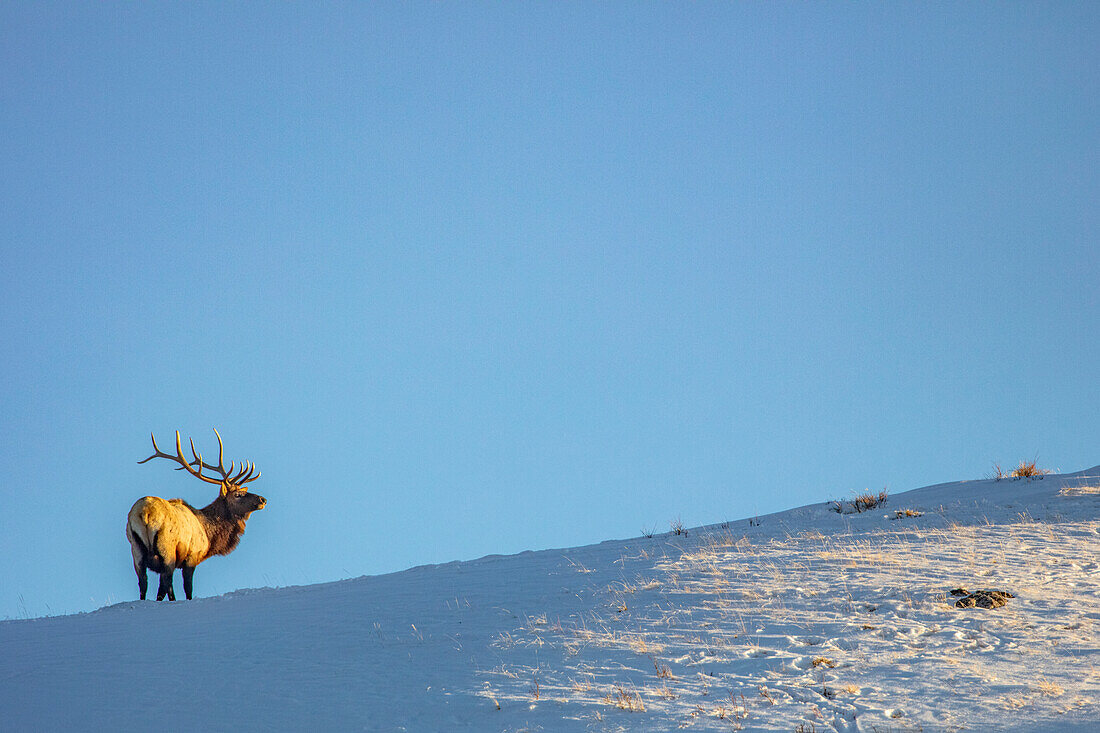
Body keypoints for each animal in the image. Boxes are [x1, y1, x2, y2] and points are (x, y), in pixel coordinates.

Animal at [126, 429, 266, 598]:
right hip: (167, 549)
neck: (209, 534)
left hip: (136, 551)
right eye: (238, 495)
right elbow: (188, 588)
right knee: (165, 584)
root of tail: (145, 513)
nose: (263, 499)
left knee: (144, 584)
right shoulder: (192, 557)